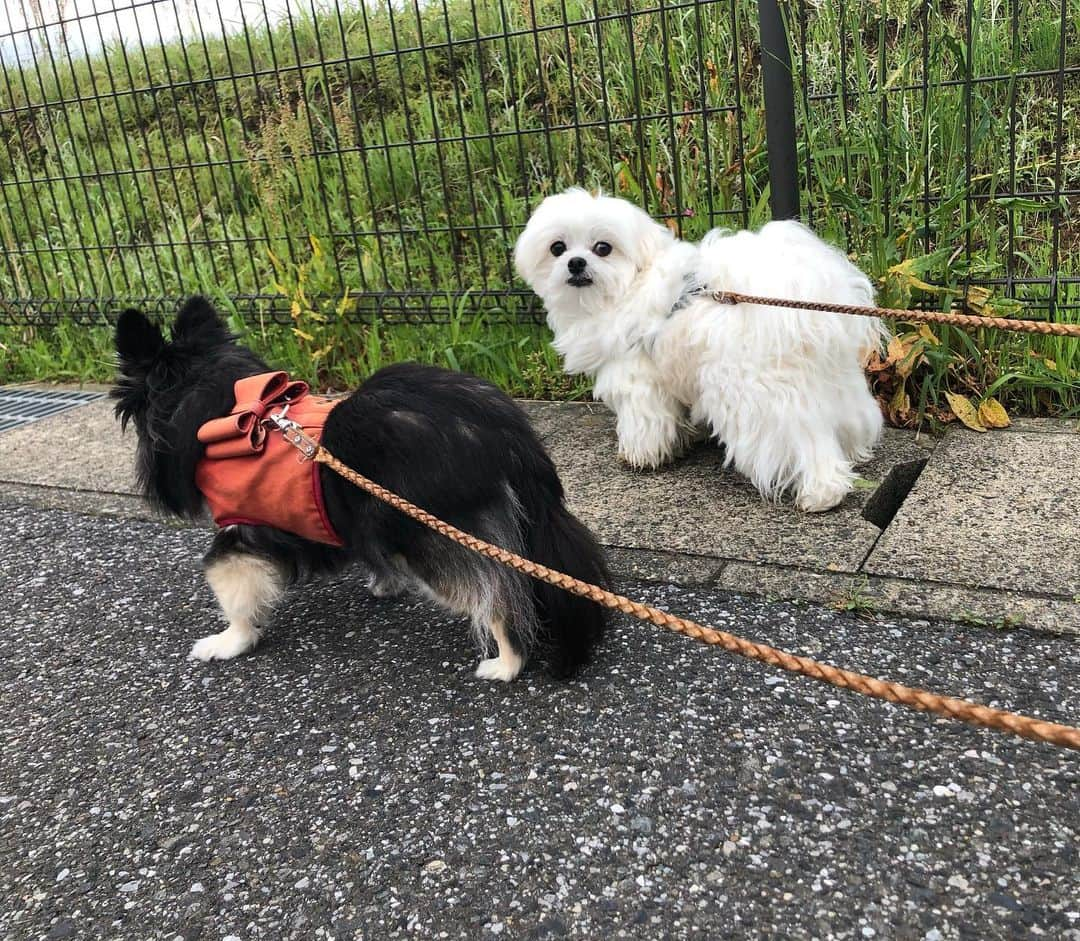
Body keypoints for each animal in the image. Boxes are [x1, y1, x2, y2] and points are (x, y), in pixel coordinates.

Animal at [115, 298, 613, 682]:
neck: (225, 406)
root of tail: (511, 438)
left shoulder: (242, 531)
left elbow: (230, 586)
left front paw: (228, 642)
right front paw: (384, 584)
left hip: (434, 535)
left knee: (499, 597)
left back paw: (506, 664)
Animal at [514, 189, 885, 512]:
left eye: (603, 248)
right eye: (557, 248)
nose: (575, 263)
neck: (626, 285)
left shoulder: (636, 377)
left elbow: (644, 421)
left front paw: (640, 456)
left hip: (761, 398)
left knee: (804, 441)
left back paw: (822, 494)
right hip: (833, 383)